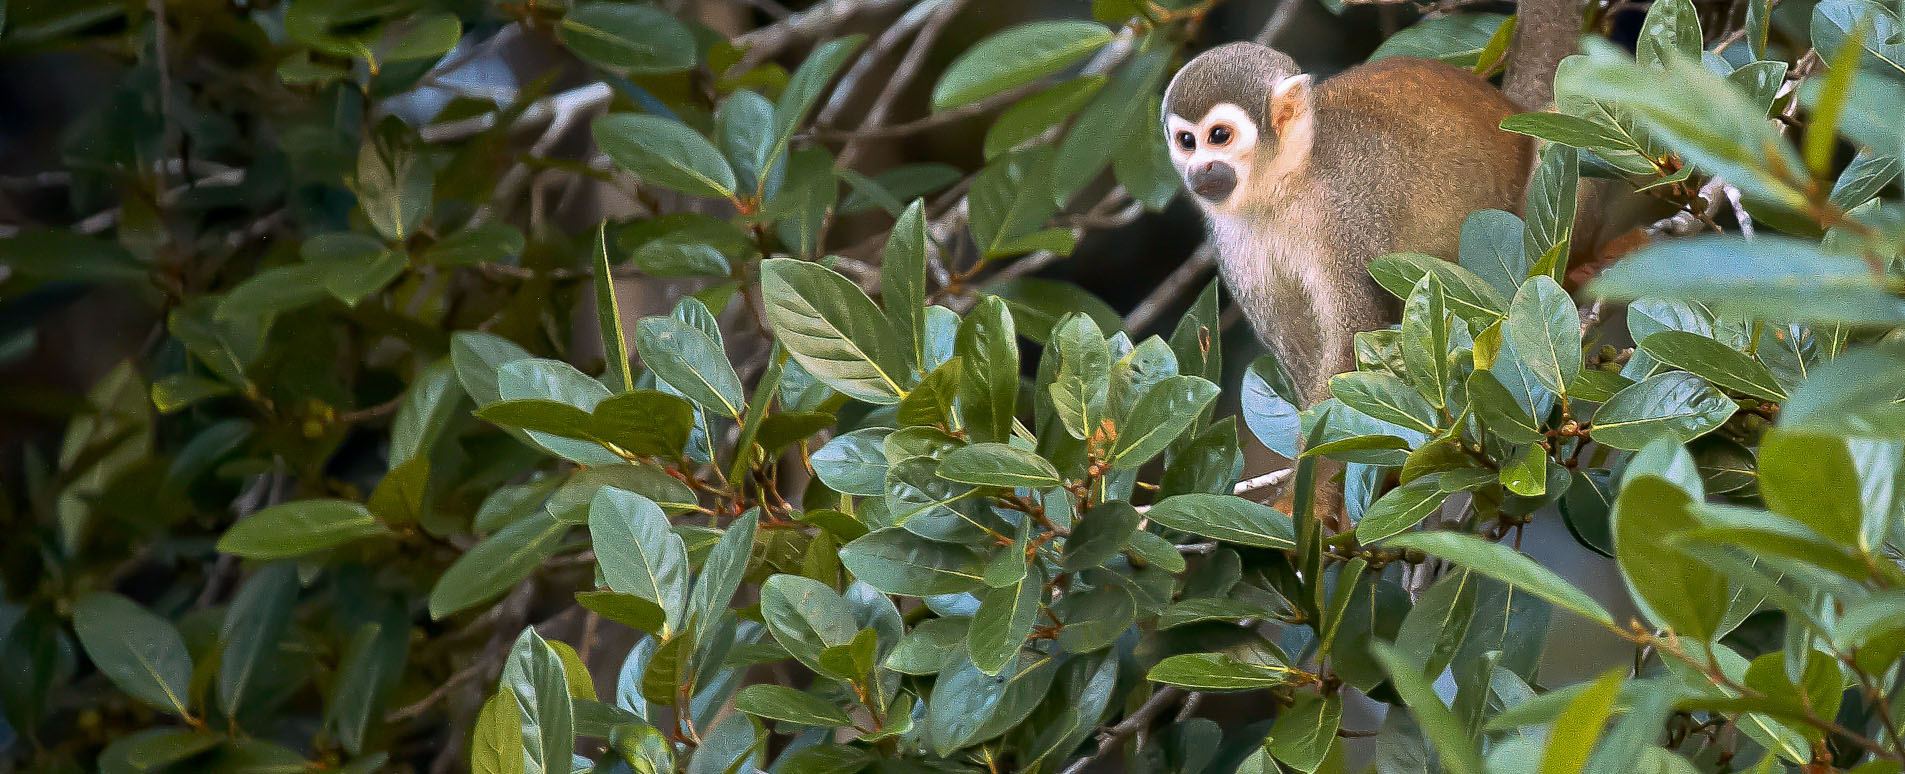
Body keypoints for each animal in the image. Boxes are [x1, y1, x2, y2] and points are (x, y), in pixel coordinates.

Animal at [1158, 46, 1531, 518]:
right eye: (1187, 141)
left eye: (1219, 136)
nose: (1200, 169)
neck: (1286, 183)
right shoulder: (1231, 239)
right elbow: (1302, 348)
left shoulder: (1343, 214)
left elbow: (1352, 341)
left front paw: (1307, 499)